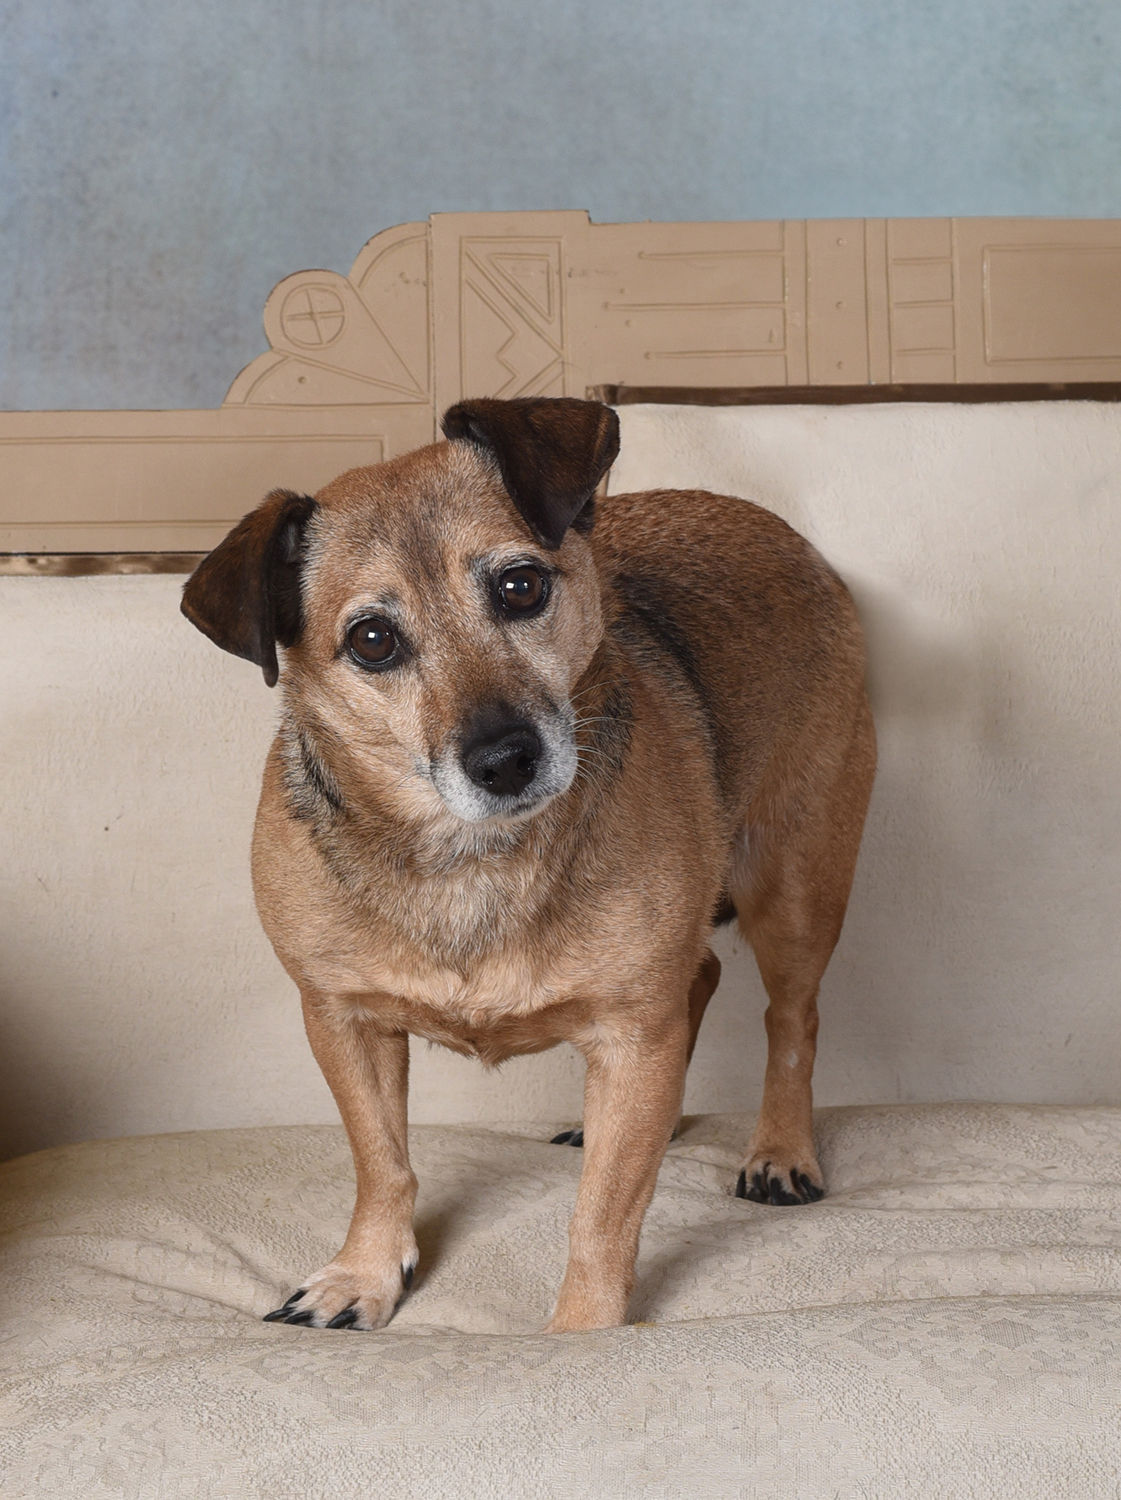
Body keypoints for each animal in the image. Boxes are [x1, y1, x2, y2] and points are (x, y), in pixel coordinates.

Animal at [181, 395, 875, 1334]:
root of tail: (783, 534)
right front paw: (363, 1274)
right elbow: (382, 1161)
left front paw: (580, 1334)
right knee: (699, 984)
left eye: (520, 586)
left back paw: (779, 1149)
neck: (470, 856)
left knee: (790, 1022)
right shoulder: (343, 1021)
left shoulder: (633, 1029)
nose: (504, 757)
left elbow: (601, 1213)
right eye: (371, 641)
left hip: (794, 888)